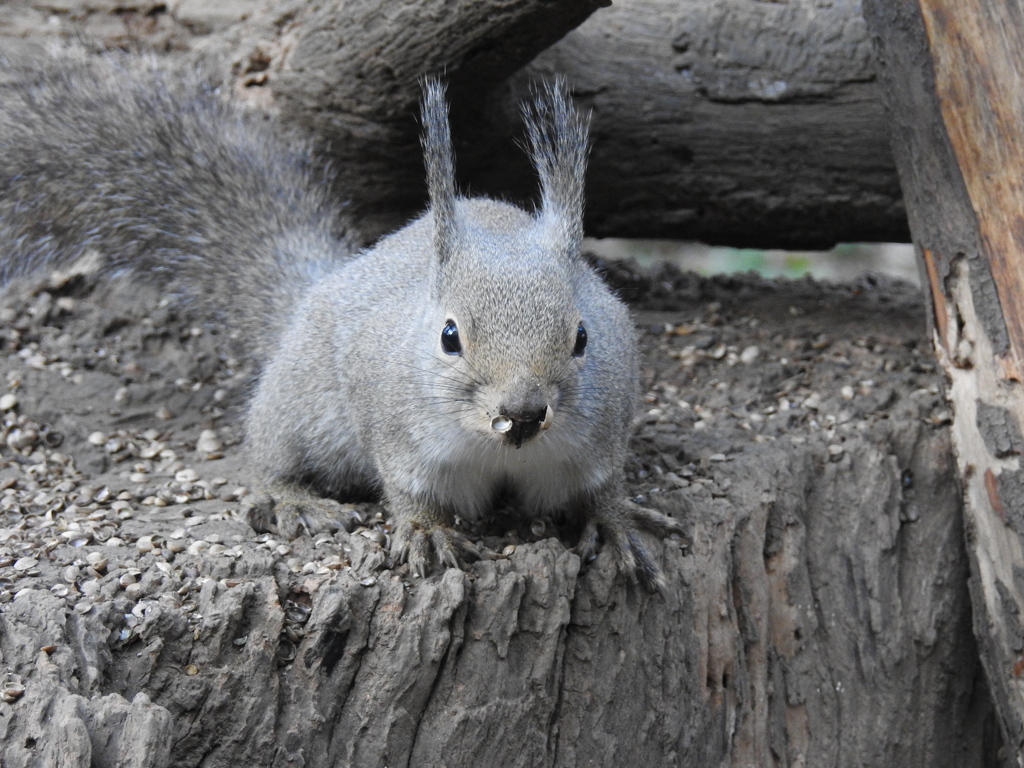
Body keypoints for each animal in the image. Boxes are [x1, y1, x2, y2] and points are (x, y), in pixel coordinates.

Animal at [2, 49, 688, 589]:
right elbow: (408, 489)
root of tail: (319, 287)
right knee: (266, 458)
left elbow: (603, 485)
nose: (521, 414)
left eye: (582, 337)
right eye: (448, 337)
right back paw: (295, 500)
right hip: (301, 408)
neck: (502, 454)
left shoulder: (600, 433)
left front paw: (616, 521)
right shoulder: (398, 430)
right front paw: (424, 531)